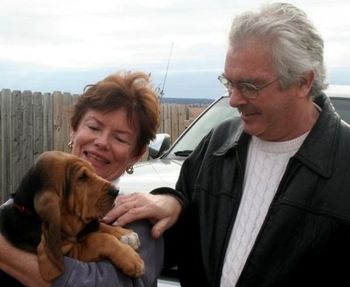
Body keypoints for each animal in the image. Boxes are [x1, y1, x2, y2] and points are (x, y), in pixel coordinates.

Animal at [0, 152, 144, 282]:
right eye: (82, 177)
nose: (116, 191)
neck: (28, 212)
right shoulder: (72, 252)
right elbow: (98, 239)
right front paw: (130, 258)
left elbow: (99, 226)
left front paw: (125, 234)